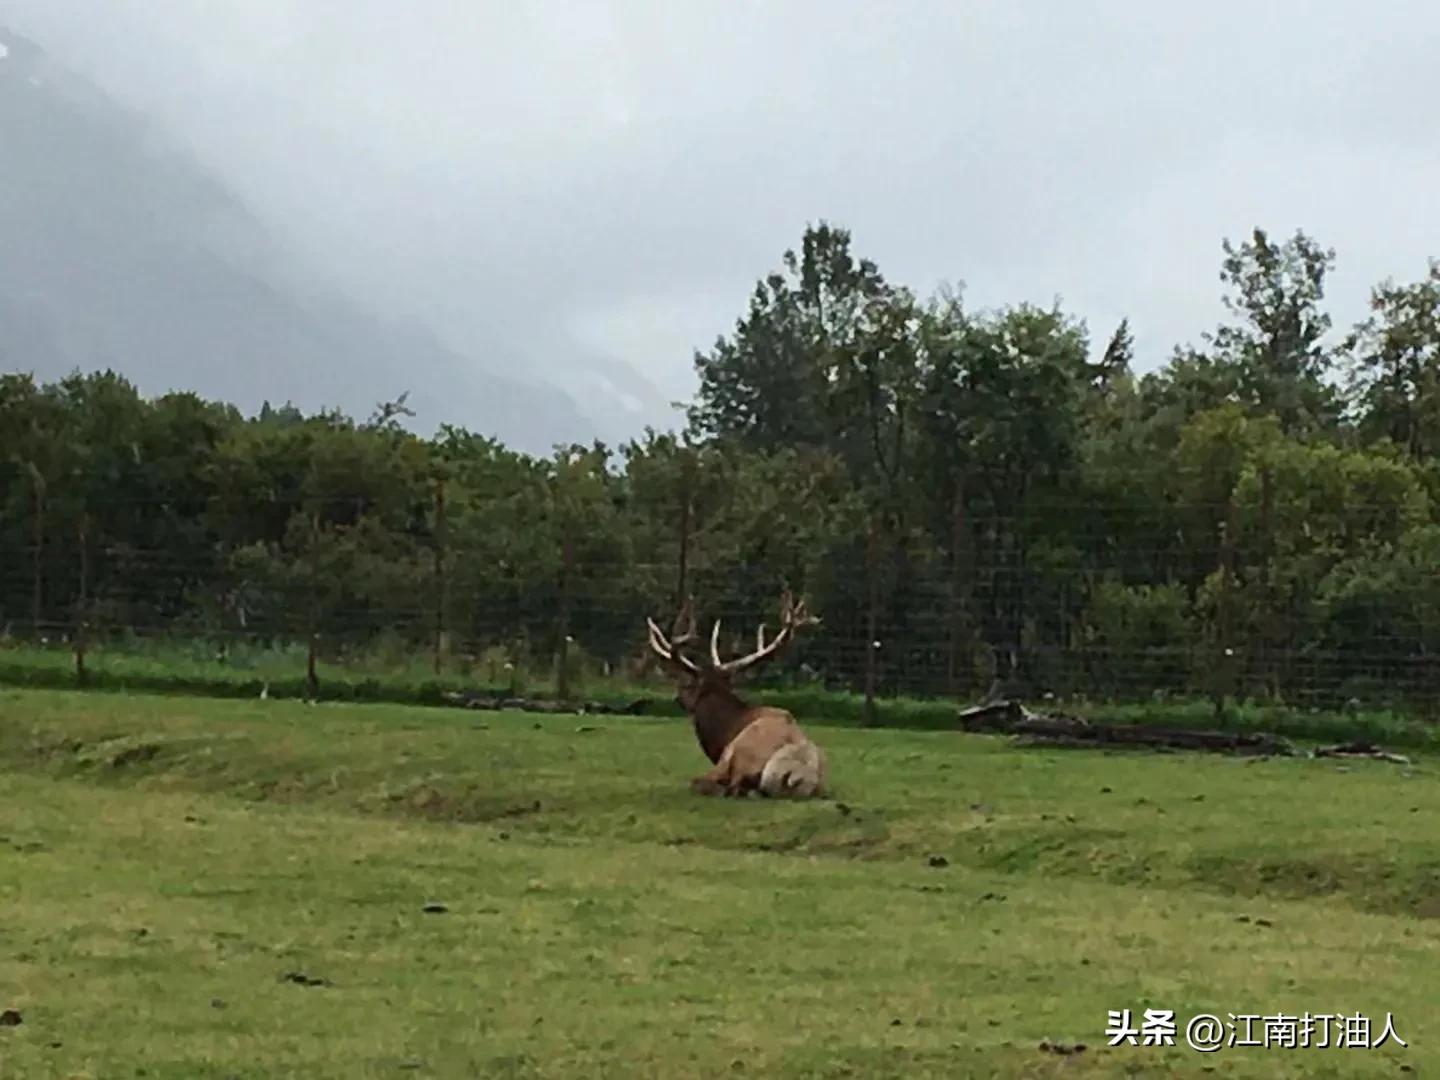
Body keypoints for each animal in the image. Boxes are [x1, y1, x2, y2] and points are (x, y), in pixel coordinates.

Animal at [645, 587, 829, 800]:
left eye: (689, 685)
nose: (678, 698)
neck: (724, 733)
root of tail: (796, 774)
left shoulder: (725, 759)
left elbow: (698, 782)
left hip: (745, 755)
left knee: (729, 788)